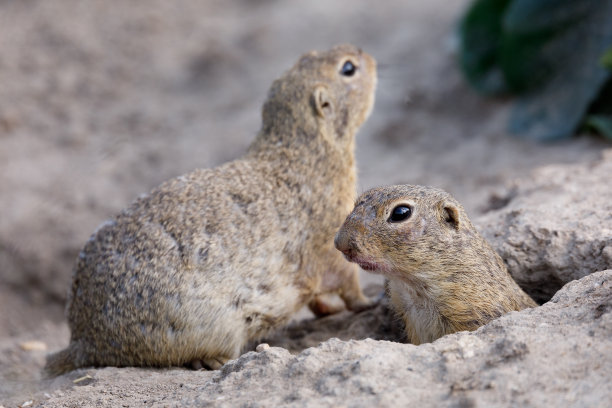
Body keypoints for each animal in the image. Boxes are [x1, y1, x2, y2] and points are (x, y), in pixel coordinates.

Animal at [45, 44, 376, 376]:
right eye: (348, 68)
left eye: (308, 55)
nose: (367, 54)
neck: (304, 150)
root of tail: (84, 341)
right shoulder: (332, 234)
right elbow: (348, 283)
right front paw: (368, 301)